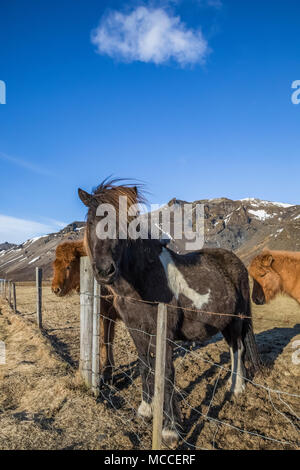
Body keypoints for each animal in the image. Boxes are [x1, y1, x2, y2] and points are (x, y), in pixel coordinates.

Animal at [51, 241, 118, 384]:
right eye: (54, 266)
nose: (55, 289)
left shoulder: (109, 315)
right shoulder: (102, 314)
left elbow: (106, 340)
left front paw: (107, 371)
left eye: (69, 265)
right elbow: (103, 340)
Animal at [78, 178, 262, 446]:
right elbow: (145, 365)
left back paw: (237, 388)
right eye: (91, 221)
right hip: (225, 323)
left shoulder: (163, 332)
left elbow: (166, 374)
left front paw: (169, 430)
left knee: (238, 349)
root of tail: (235, 261)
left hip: (237, 320)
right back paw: (231, 382)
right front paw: (146, 409)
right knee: (232, 348)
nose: (104, 271)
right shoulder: (136, 330)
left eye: (124, 225)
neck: (143, 279)